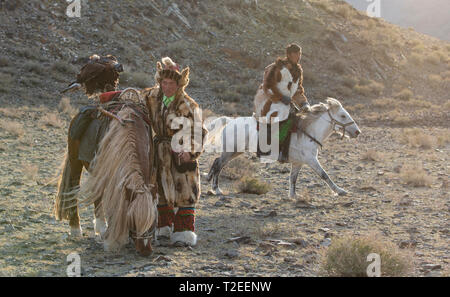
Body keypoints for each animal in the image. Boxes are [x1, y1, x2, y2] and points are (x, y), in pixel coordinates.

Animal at [206, 97, 360, 199]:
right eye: (343, 115)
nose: (357, 132)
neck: (308, 132)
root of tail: (230, 120)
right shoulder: (311, 160)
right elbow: (324, 175)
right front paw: (340, 190)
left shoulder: (298, 163)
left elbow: (293, 178)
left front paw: (293, 196)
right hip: (230, 151)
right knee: (218, 164)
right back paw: (216, 189)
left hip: (235, 151)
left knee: (217, 163)